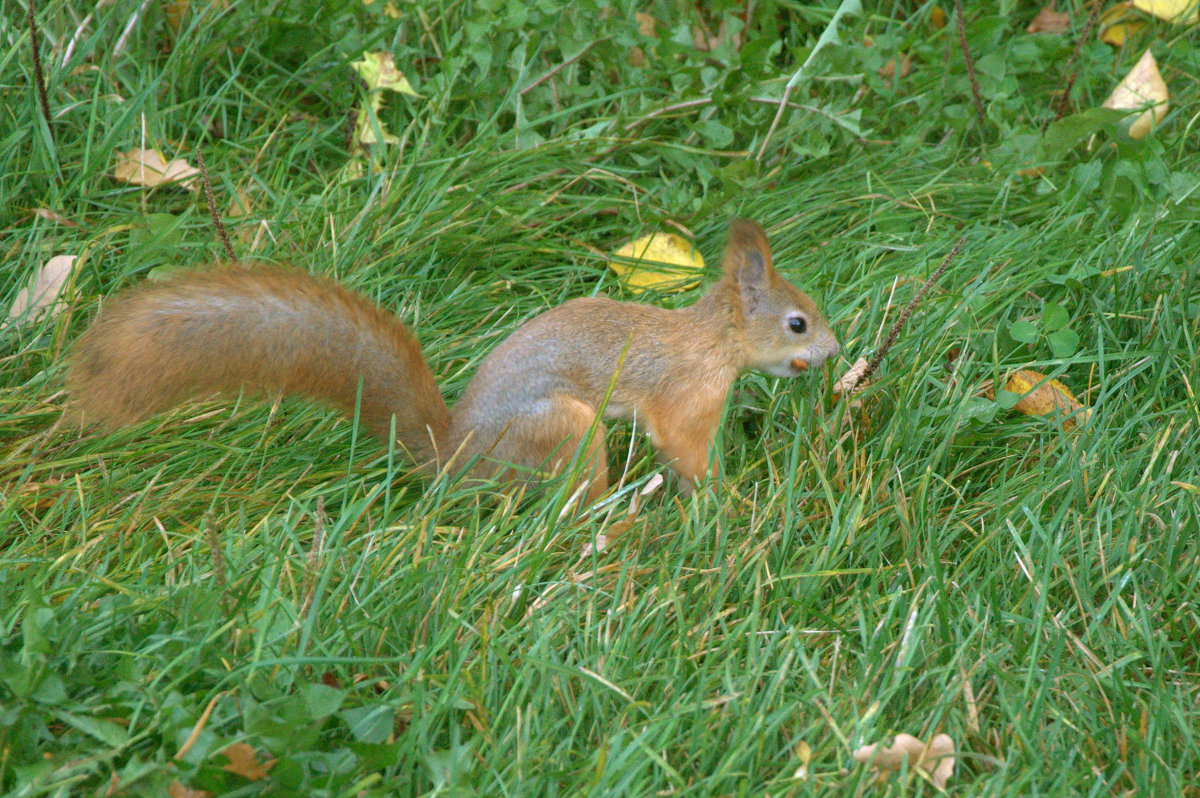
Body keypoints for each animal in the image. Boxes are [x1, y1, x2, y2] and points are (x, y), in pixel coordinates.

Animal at [65, 218, 835, 501]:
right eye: (797, 322)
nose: (834, 351)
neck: (711, 340)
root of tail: (455, 460)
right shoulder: (684, 395)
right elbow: (683, 447)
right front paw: (727, 501)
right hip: (566, 427)